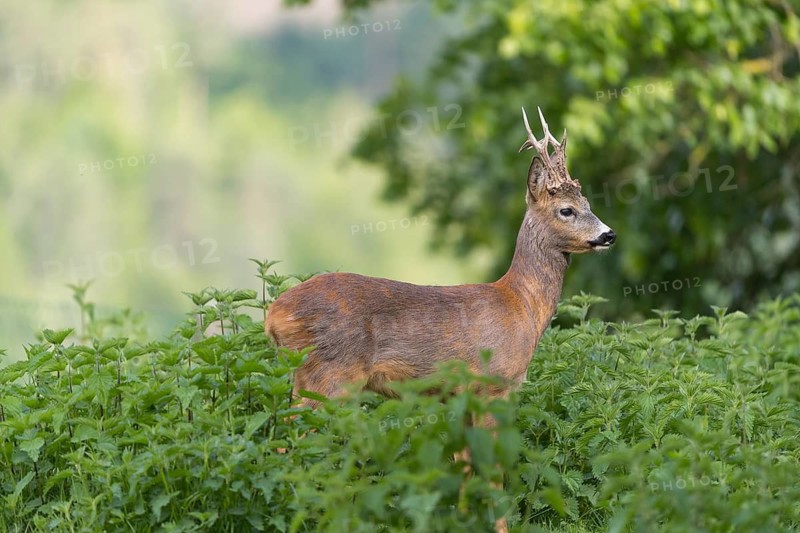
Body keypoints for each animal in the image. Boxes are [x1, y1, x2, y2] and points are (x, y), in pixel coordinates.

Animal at [266, 107, 615, 532]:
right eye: (566, 210)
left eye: (588, 202)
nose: (609, 234)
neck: (521, 307)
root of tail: (273, 315)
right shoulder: (493, 386)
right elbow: (493, 473)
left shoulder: (458, 396)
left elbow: (464, 472)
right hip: (329, 376)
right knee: (291, 443)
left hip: (304, 377)